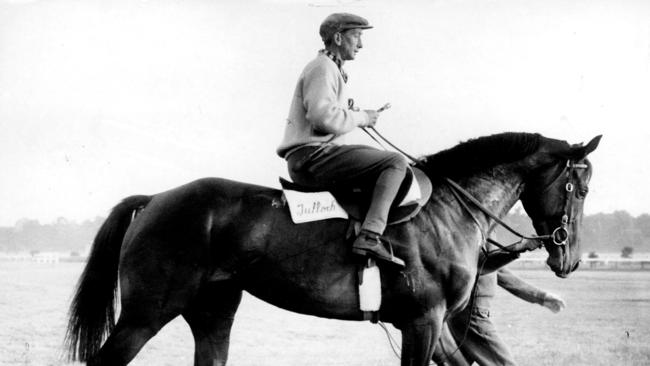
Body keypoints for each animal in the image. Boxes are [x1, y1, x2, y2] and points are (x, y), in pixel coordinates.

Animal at [64, 132, 596, 366]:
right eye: (581, 187)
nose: (567, 258)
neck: (448, 208)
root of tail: (156, 198)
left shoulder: (433, 325)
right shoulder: (423, 322)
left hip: (213, 313)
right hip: (145, 315)